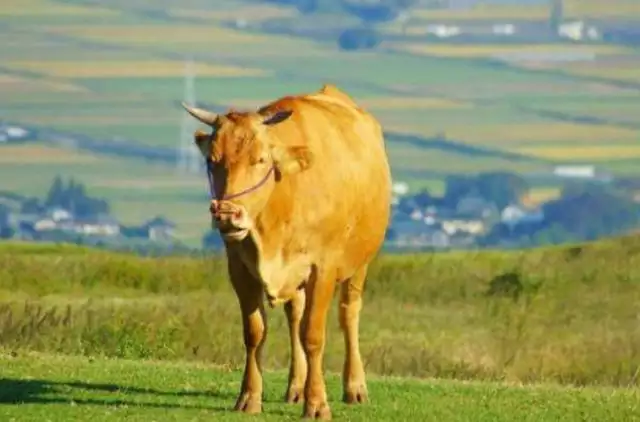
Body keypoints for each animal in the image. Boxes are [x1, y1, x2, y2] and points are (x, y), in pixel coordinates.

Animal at [180, 83, 390, 418]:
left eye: (261, 160)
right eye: (212, 160)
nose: (227, 214)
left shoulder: (323, 268)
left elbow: (313, 335)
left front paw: (316, 403)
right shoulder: (239, 267)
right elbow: (255, 332)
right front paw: (249, 397)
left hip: (359, 263)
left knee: (348, 315)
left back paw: (354, 386)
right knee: (295, 316)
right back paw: (296, 386)